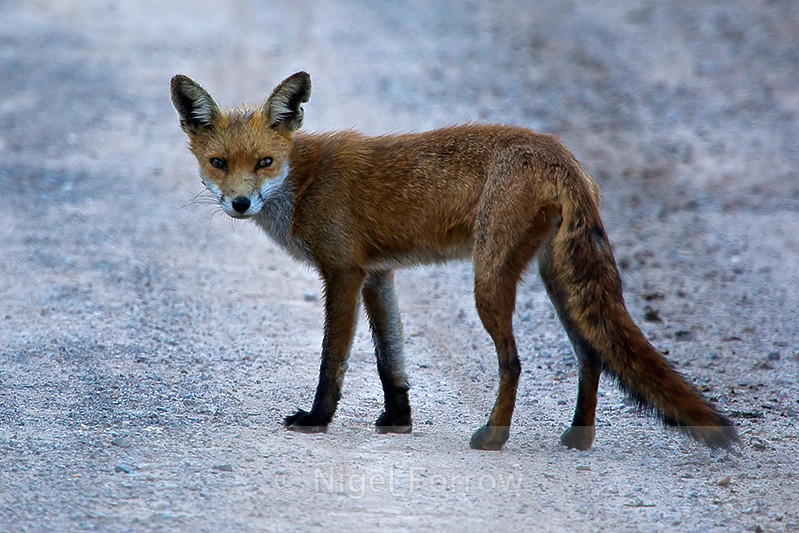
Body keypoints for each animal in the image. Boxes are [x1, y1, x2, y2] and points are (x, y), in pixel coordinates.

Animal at [169, 71, 739, 451]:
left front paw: (317, 419)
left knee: (514, 361)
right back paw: (578, 436)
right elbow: (390, 358)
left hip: (488, 281)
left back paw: (495, 435)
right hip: (557, 281)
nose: (241, 203)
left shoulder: (344, 272)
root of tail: (559, 153)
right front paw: (398, 418)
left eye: (264, 162)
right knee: (591, 356)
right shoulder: (378, 275)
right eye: (219, 163)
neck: (304, 183)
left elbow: (334, 359)